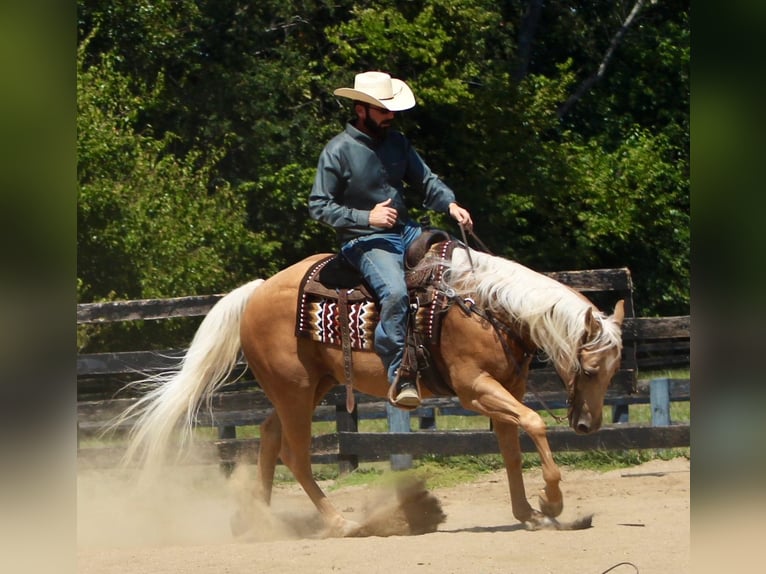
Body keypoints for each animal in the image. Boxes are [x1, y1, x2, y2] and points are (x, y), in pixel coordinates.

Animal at [114, 241, 625, 536]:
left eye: (613, 370)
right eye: (589, 367)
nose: (587, 424)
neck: (484, 304)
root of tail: (256, 292)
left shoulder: (505, 391)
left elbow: (512, 450)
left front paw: (531, 514)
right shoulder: (475, 388)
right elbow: (535, 424)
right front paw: (552, 501)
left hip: (306, 389)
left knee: (268, 436)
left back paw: (259, 520)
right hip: (296, 391)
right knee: (295, 455)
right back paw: (342, 523)